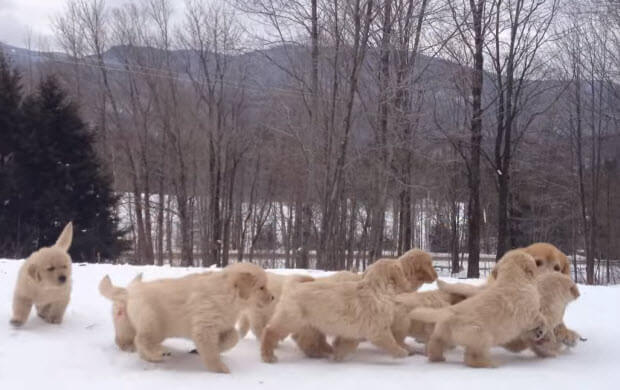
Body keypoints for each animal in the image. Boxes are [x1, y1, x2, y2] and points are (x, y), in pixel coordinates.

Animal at [260, 258, 412, 362]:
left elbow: (346, 344)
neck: (376, 289)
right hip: (290, 319)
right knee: (270, 331)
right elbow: (390, 341)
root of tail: (293, 286)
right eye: (403, 274)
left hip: (310, 325)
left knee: (305, 341)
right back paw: (268, 356)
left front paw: (337, 355)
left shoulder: (352, 332)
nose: (408, 285)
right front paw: (401, 352)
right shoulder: (377, 329)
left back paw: (322, 353)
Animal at [412, 250, 548, 368]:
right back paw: (491, 364)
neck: (512, 279)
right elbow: (541, 319)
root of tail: (450, 312)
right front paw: (540, 330)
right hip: (481, 336)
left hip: (444, 333)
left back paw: (437, 358)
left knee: (435, 344)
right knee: (472, 358)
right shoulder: (529, 313)